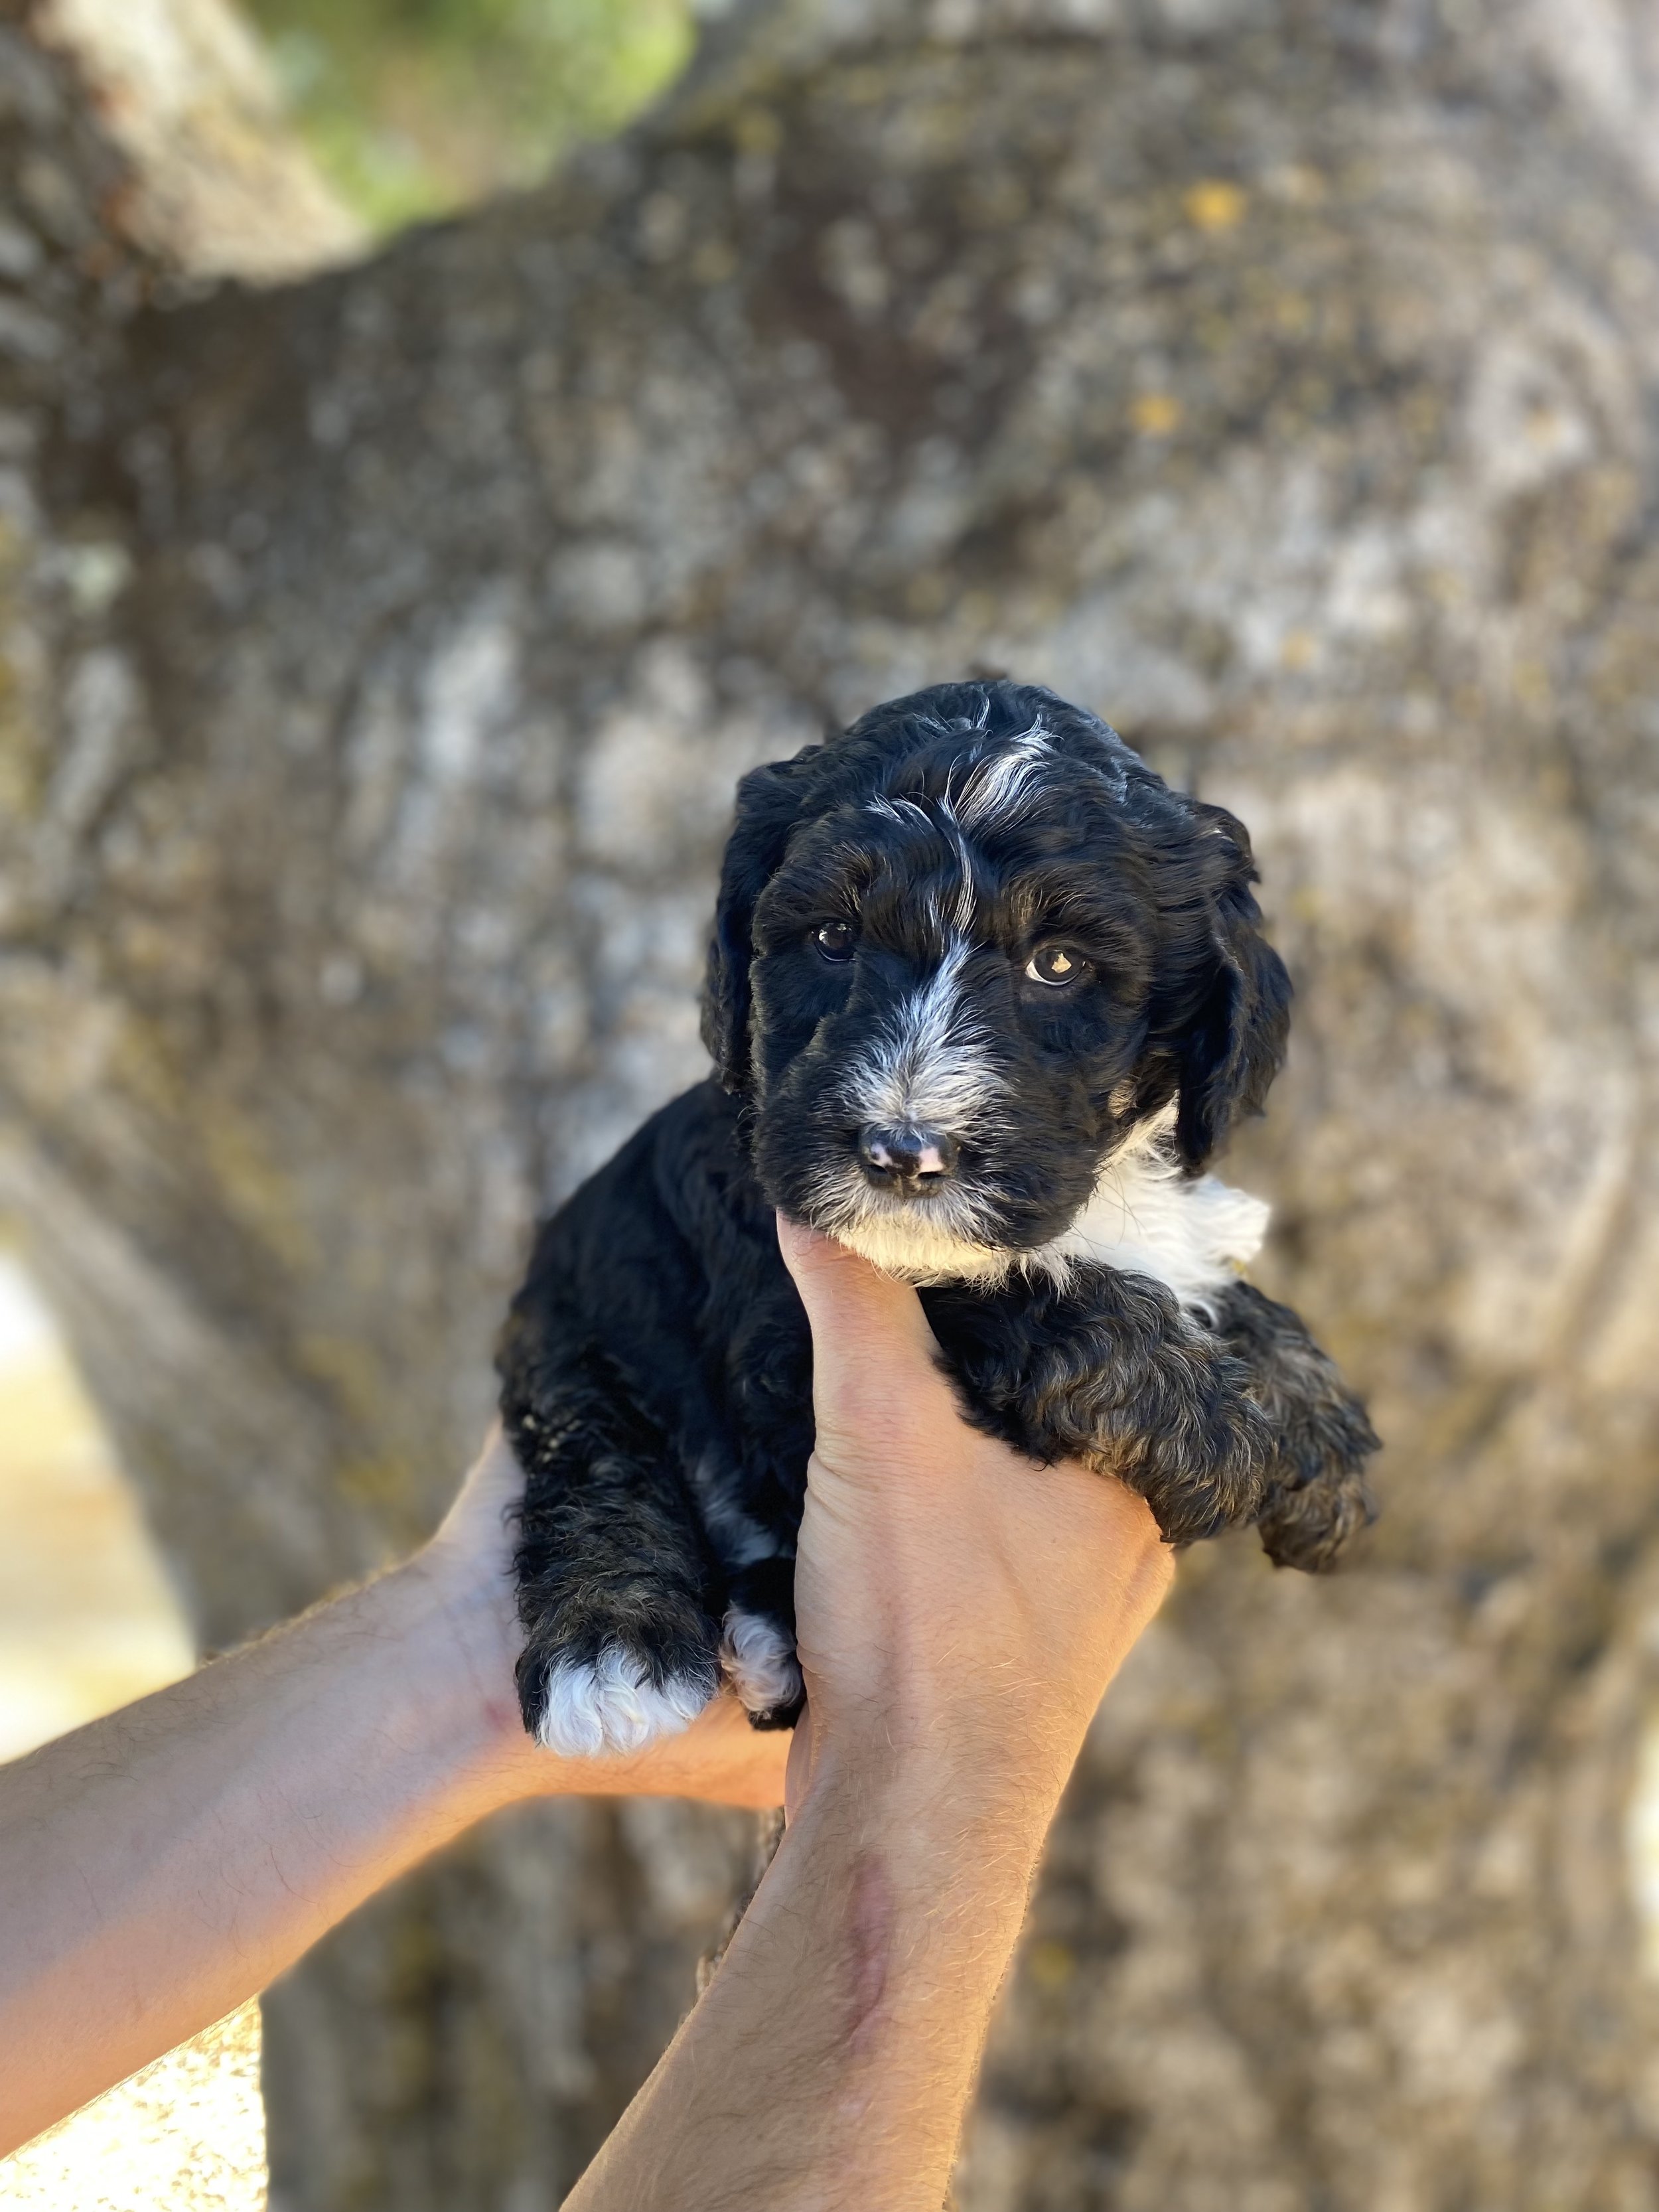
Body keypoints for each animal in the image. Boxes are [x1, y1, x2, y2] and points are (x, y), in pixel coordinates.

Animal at [498, 681, 1380, 1751]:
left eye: (1057, 964)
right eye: (833, 939)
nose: (900, 1153)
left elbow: (1195, 1282)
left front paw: (1317, 1427)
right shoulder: (780, 1312)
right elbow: (1016, 1295)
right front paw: (1217, 1433)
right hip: (576, 1324)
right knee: (597, 1455)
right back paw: (613, 1648)